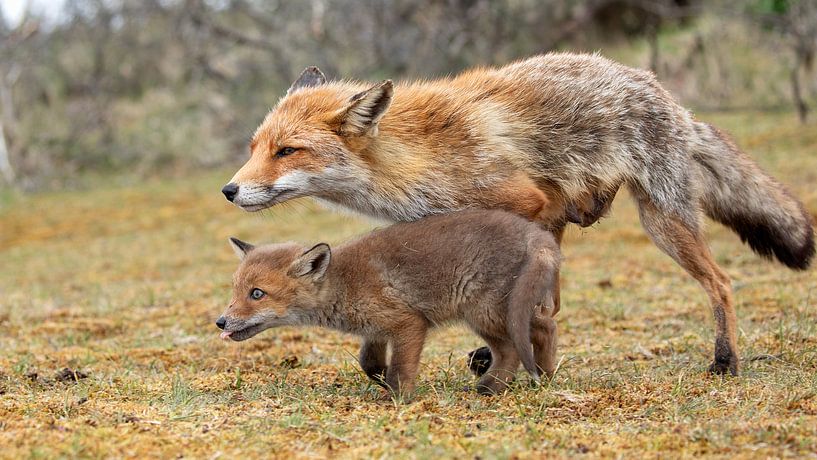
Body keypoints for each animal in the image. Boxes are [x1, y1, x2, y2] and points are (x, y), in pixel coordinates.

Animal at [215, 210, 561, 397]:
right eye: (235, 290)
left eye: (257, 294)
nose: (220, 322)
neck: (344, 283)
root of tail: (537, 234)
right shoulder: (376, 329)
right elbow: (368, 362)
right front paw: (380, 379)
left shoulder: (409, 323)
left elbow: (401, 368)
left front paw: (399, 398)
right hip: (503, 311)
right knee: (544, 327)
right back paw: (544, 376)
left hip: (482, 312)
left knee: (515, 347)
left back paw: (491, 387)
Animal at [222, 52, 815, 377]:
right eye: (255, 147)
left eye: (287, 151)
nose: (230, 190)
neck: (414, 162)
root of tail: (660, 91)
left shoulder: (529, 203)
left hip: (663, 221)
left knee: (722, 282)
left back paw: (725, 361)